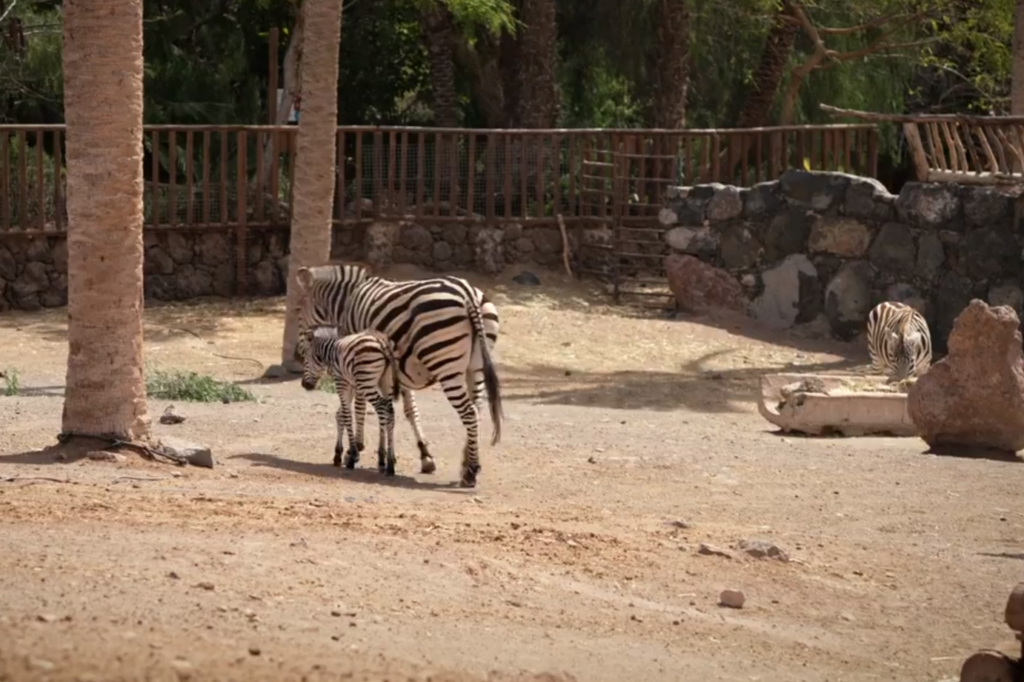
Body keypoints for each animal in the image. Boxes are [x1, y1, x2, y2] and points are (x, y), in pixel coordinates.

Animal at [300, 326, 403, 475]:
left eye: (305, 360)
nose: (304, 385)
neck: (331, 354)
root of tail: (382, 342)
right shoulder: (354, 386)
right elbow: (341, 414)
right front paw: (341, 453)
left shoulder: (342, 383)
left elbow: (346, 415)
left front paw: (352, 454)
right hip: (386, 383)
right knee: (390, 413)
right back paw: (389, 461)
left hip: (367, 382)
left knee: (382, 409)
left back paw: (385, 462)